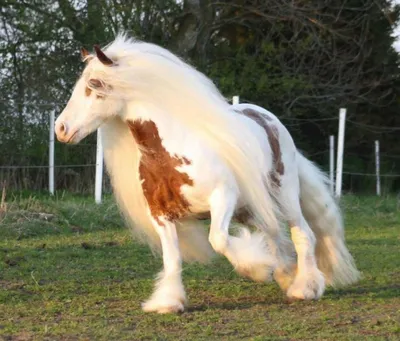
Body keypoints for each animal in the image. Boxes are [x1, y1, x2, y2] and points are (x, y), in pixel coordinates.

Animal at [55, 34, 360, 314]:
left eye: (94, 86)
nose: (61, 129)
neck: (170, 153)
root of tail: (267, 118)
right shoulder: (160, 214)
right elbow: (172, 258)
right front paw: (170, 302)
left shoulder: (222, 198)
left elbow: (219, 240)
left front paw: (257, 269)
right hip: (251, 208)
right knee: (274, 233)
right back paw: (286, 275)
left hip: (283, 195)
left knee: (302, 234)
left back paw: (305, 287)